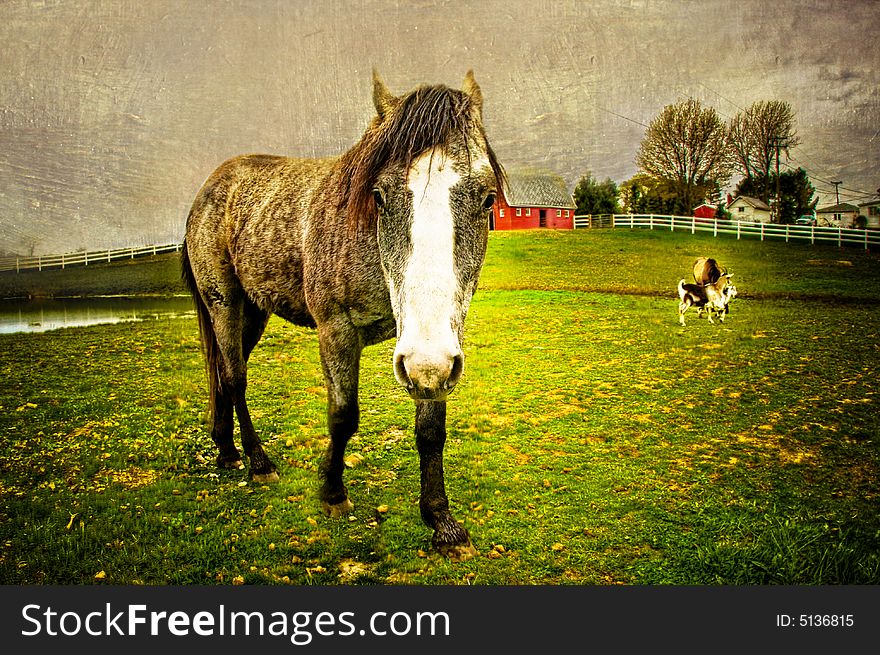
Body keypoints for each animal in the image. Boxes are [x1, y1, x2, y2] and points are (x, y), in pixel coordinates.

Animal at [180, 73, 502, 564]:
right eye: (380, 196)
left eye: (487, 199)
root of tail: (210, 188)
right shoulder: (339, 333)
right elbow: (342, 416)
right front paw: (332, 492)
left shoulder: (435, 353)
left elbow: (431, 430)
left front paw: (442, 523)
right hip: (225, 303)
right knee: (234, 378)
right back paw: (258, 463)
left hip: (253, 312)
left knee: (221, 371)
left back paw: (226, 451)